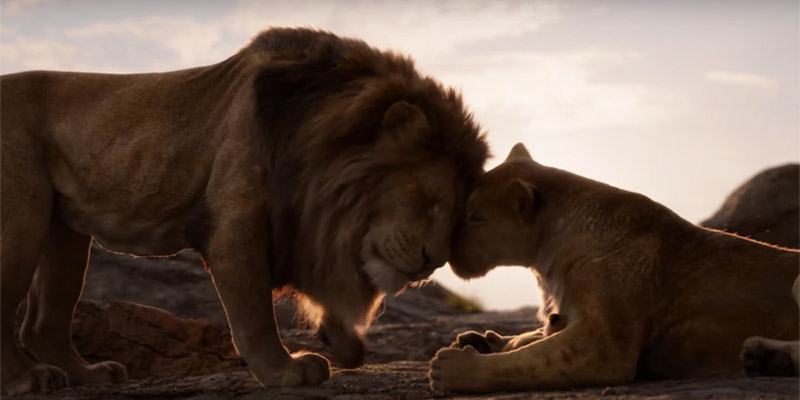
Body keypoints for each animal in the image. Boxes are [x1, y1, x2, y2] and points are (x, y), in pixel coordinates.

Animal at [0, 28, 488, 395]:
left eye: (459, 214)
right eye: (430, 200)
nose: (432, 263)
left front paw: (342, 342)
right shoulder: (235, 224)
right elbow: (254, 313)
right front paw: (286, 370)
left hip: (64, 229)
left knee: (42, 322)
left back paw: (89, 375)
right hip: (21, 216)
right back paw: (27, 380)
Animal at [428, 143, 799, 393]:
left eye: (475, 216)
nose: (447, 252)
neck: (546, 254)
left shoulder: (605, 345)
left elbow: (530, 361)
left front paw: (453, 366)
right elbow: (534, 340)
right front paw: (484, 339)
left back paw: (767, 358)